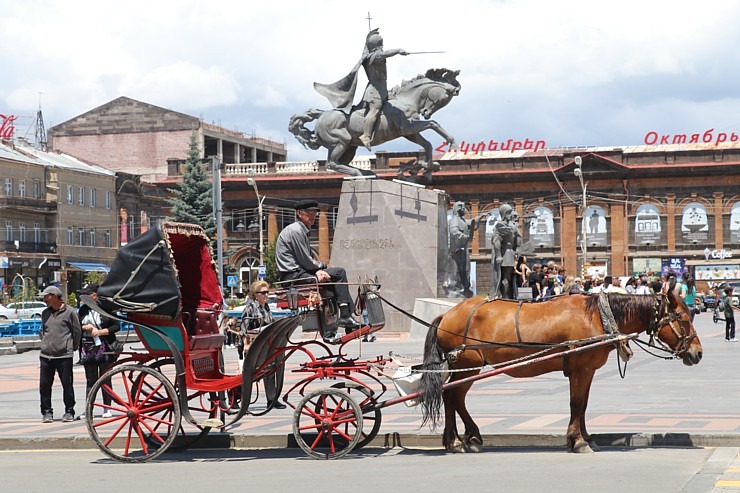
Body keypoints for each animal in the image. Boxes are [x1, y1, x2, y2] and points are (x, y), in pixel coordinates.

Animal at [420, 282, 704, 452]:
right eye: (685, 319)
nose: (698, 353)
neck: (598, 316)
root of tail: (447, 314)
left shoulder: (587, 370)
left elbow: (583, 404)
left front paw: (586, 437)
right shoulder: (581, 369)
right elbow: (576, 403)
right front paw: (577, 441)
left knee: (453, 398)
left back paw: (464, 438)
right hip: (468, 365)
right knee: (453, 396)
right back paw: (458, 440)